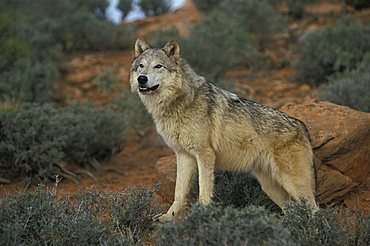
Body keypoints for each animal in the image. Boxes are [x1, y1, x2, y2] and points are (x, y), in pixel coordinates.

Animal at [129, 37, 316, 223]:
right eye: (141, 66)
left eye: (158, 66)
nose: (142, 79)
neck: (179, 103)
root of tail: (302, 126)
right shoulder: (184, 155)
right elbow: (179, 192)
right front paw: (169, 217)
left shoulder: (205, 154)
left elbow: (204, 191)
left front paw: (202, 215)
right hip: (270, 186)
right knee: (292, 210)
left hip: (293, 184)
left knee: (315, 210)